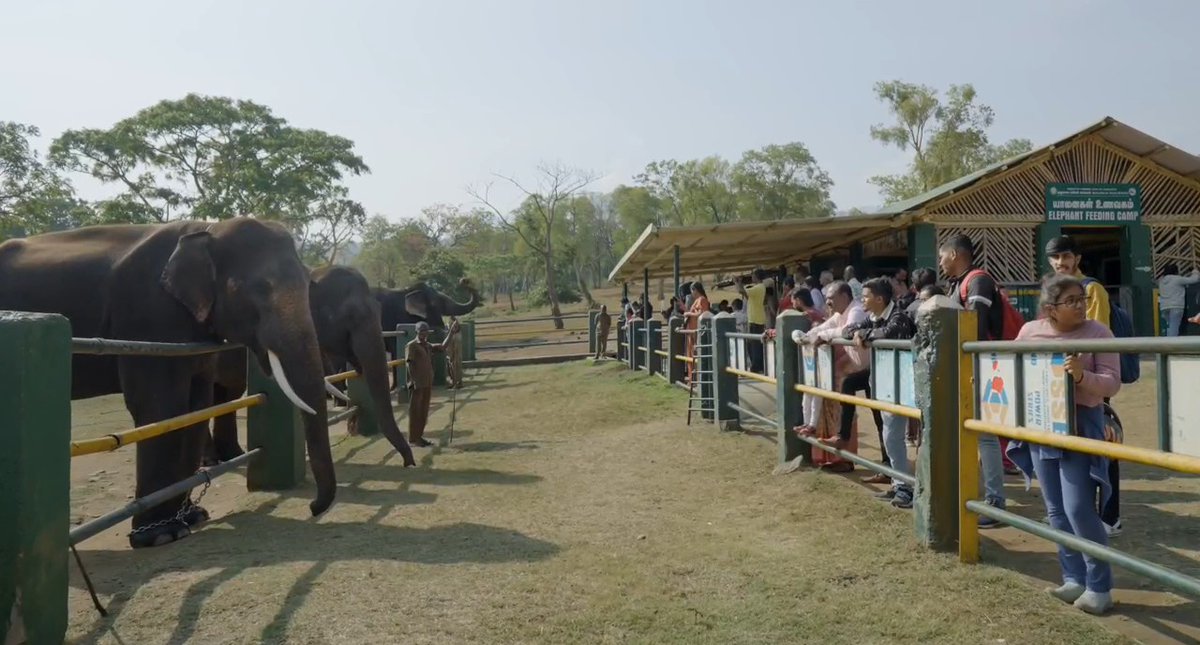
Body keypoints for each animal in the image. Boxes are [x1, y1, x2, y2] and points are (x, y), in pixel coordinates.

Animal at [0, 218, 337, 548]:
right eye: (249, 289)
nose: (314, 507)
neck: (205, 230)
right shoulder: (147, 314)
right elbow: (162, 407)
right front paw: (161, 535)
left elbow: (195, 408)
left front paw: (191, 518)